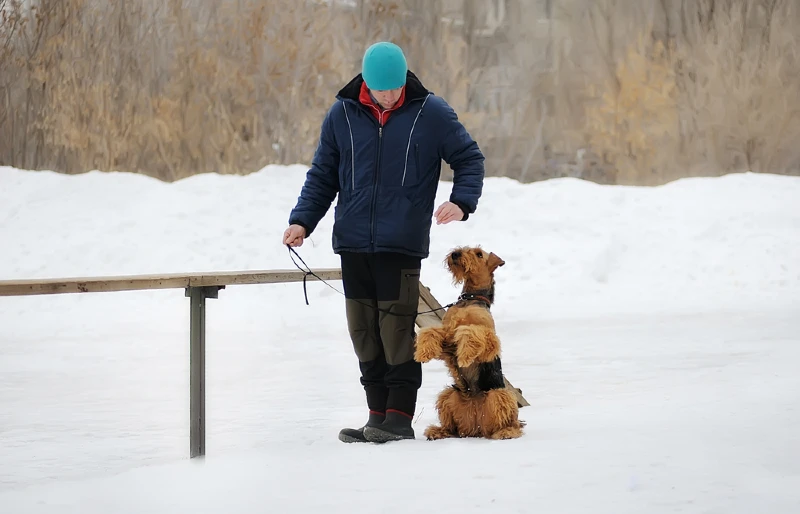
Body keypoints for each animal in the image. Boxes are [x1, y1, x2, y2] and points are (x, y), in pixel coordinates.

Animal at [412, 246, 524, 438]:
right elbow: (431, 332)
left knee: (514, 423)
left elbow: (469, 331)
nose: (455, 254)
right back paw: (437, 431)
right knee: (452, 428)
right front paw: (423, 353)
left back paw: (505, 432)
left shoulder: (489, 338)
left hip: (500, 395)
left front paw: (465, 355)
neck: (471, 298)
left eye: (479, 253)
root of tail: (476, 427)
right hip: (449, 395)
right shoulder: (447, 337)